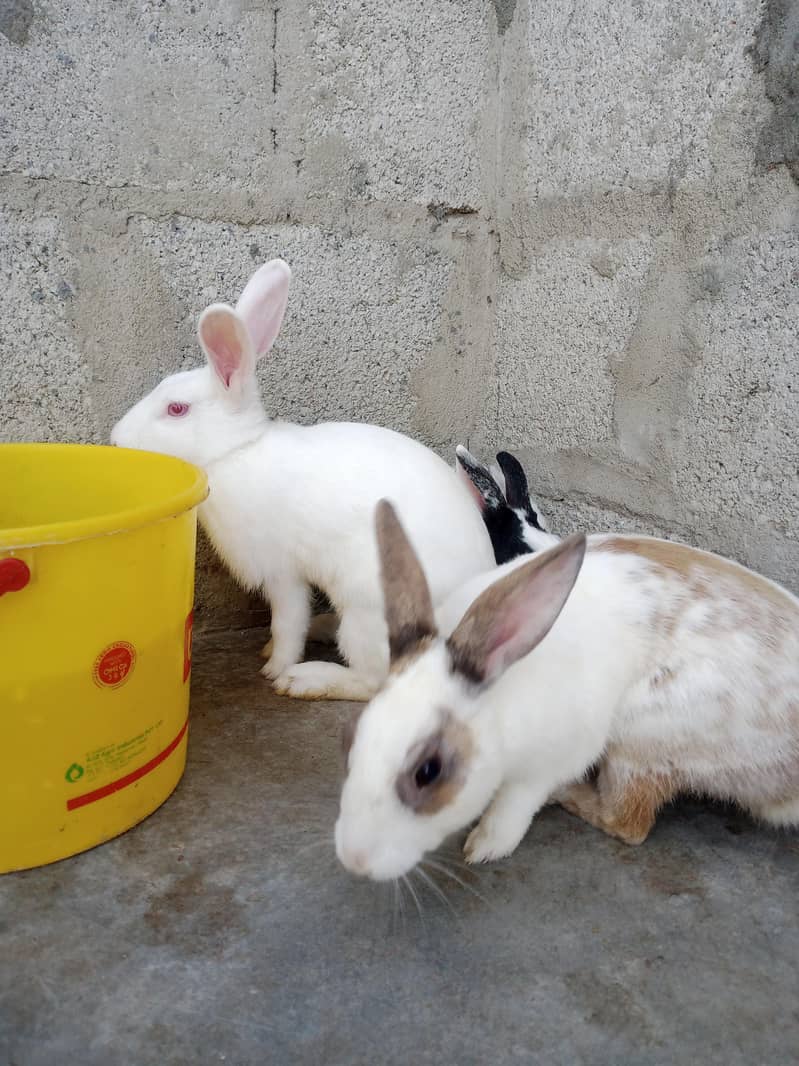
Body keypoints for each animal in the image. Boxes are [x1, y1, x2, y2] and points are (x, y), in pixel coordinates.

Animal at [110, 260, 495, 701]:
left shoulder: (282, 572)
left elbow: (287, 623)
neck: (237, 450)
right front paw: (268, 653)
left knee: (374, 681)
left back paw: (306, 679)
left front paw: (276, 667)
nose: (116, 439)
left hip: (368, 612)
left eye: (176, 409)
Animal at [335, 500, 799, 880]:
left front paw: (484, 846)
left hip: (642, 739)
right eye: (352, 738)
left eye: (428, 771)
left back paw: (569, 796)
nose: (354, 859)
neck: (499, 698)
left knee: (628, 821)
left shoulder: (547, 765)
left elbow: (513, 811)